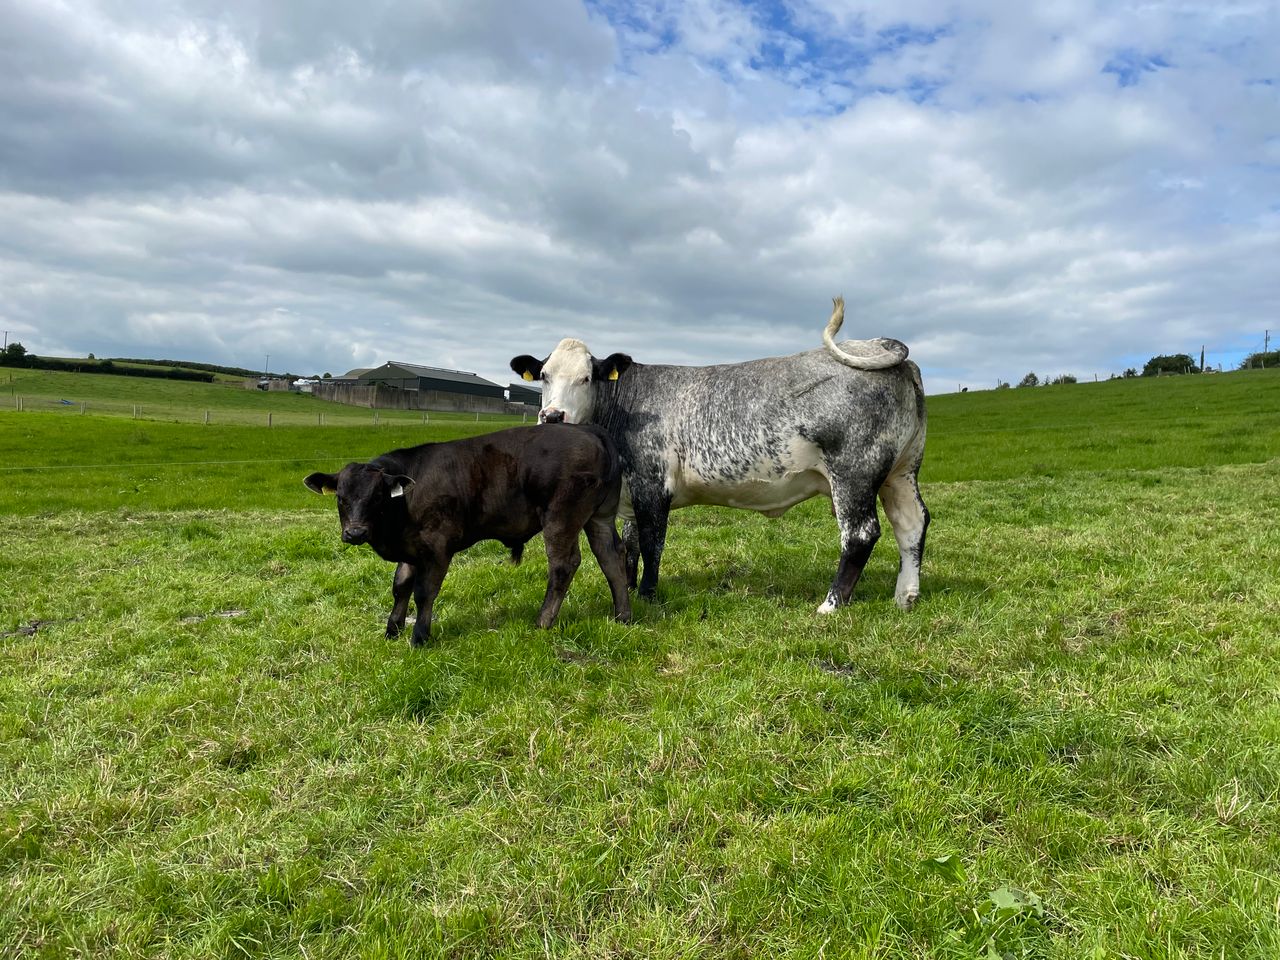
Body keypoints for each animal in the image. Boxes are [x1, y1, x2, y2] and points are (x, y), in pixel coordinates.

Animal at [303, 424, 632, 646]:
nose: (355, 532)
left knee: (564, 565)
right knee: (611, 556)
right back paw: (622, 615)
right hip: (600, 517)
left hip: (561, 518)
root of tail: (588, 430)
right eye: (341, 498)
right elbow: (400, 586)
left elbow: (424, 592)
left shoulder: (438, 546)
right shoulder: (411, 548)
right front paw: (392, 630)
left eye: (377, 497)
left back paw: (543, 621)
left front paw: (419, 636)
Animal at [510, 297, 929, 614]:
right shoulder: (630, 493)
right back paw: (904, 597)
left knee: (860, 533)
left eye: (586, 378)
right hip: (900, 472)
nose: (552, 416)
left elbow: (652, 543)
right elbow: (629, 547)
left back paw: (831, 604)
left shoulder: (652, 486)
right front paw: (628, 587)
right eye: (544, 375)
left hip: (853, 472)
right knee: (912, 522)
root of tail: (881, 349)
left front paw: (647, 596)